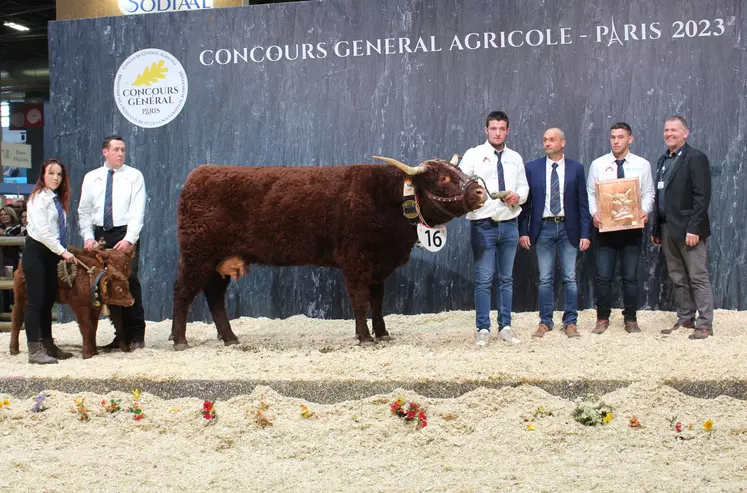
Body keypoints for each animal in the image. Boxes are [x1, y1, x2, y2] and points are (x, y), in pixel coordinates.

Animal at [172, 156, 488, 348]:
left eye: (459, 172)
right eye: (443, 179)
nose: (480, 192)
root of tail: (199, 173)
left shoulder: (378, 267)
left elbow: (377, 302)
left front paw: (383, 333)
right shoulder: (356, 260)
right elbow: (359, 300)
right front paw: (364, 337)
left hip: (219, 262)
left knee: (214, 296)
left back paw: (230, 337)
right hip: (197, 254)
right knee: (183, 292)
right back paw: (179, 339)